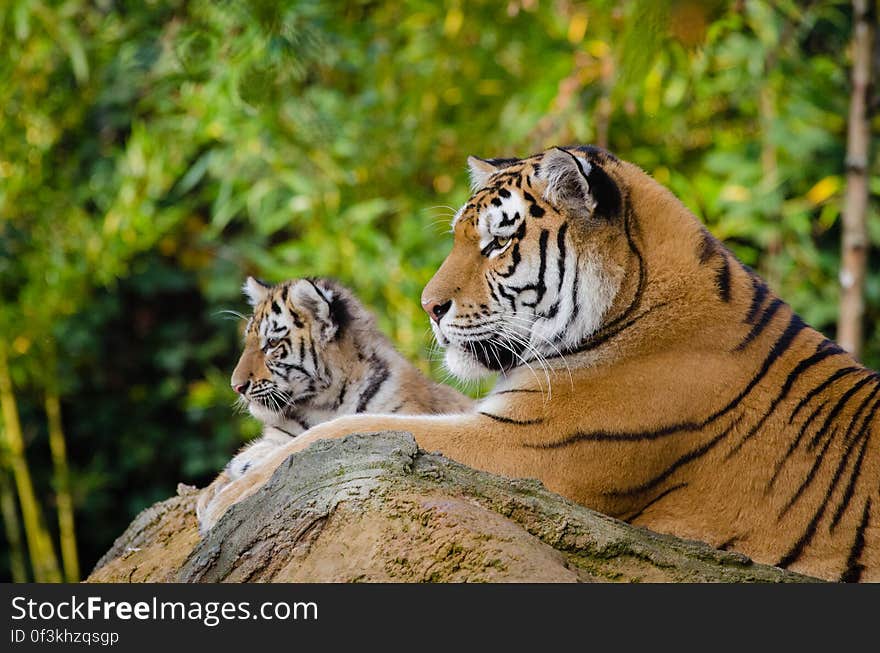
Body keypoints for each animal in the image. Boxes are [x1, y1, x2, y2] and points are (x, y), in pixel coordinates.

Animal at [205, 148, 872, 580]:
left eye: (497, 241)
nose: (428, 306)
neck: (635, 304)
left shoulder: (524, 446)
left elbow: (350, 432)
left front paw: (227, 498)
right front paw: (243, 464)